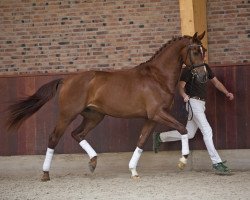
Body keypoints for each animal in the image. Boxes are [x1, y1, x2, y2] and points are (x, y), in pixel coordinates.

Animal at [6, 32, 206, 180]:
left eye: (203, 50)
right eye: (195, 51)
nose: (204, 76)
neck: (158, 77)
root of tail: (66, 79)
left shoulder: (151, 118)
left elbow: (141, 141)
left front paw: (133, 171)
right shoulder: (158, 113)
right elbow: (182, 129)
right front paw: (183, 160)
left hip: (94, 116)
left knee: (77, 134)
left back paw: (93, 162)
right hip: (67, 114)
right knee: (54, 138)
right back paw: (46, 174)